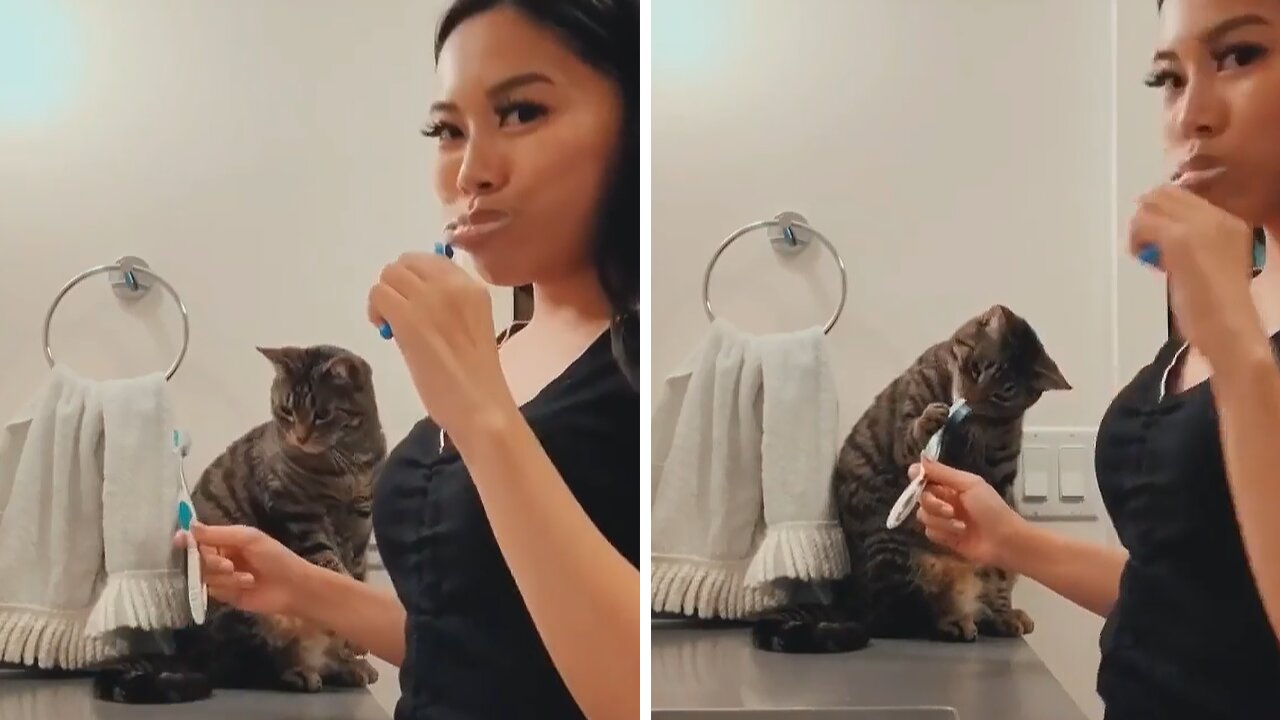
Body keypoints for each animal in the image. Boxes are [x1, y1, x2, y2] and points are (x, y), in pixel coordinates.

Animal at [93, 340, 386, 702]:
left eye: (322, 415)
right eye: (287, 411)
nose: (301, 437)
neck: (350, 462)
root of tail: (183, 654)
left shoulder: (360, 524)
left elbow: (354, 581)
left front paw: (352, 643)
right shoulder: (298, 515)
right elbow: (332, 568)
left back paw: (345, 668)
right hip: (247, 618)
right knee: (239, 666)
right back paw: (296, 673)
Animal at [747, 302, 1070, 650]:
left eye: (1004, 392)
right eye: (976, 368)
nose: (970, 399)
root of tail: (850, 601)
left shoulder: (1000, 475)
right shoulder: (909, 437)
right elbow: (913, 437)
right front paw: (932, 419)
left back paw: (1000, 617)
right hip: (895, 557)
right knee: (896, 620)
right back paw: (951, 622)